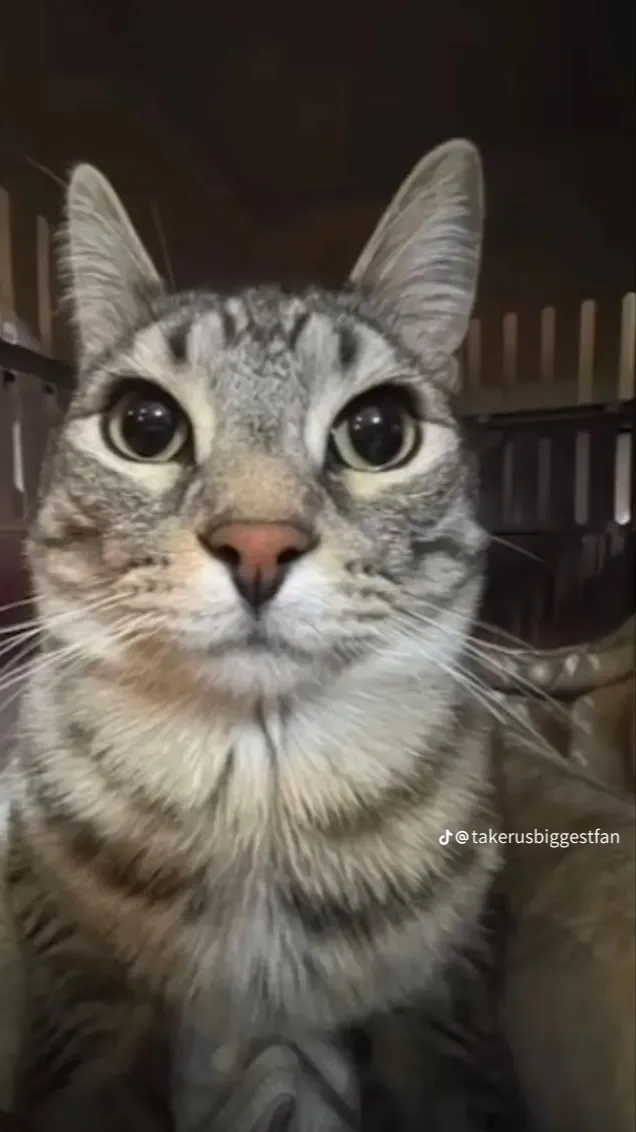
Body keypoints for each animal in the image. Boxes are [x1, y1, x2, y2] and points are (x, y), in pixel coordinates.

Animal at [7, 139, 505, 1131]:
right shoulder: (73, 975)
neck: (257, 799)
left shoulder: (439, 995)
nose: (260, 544)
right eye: (145, 425)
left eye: (378, 432)